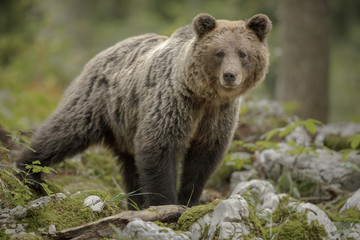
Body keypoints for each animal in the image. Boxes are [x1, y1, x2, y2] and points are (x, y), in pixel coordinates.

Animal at [16, 12, 270, 208]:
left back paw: (135, 203)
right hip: (97, 102)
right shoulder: (174, 103)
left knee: (131, 167)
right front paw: (166, 204)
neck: (204, 95)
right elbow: (158, 145)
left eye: (243, 53)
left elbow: (203, 159)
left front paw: (189, 201)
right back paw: (28, 171)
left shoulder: (217, 116)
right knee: (65, 130)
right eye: (219, 53)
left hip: (125, 124)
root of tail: (105, 51)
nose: (230, 75)